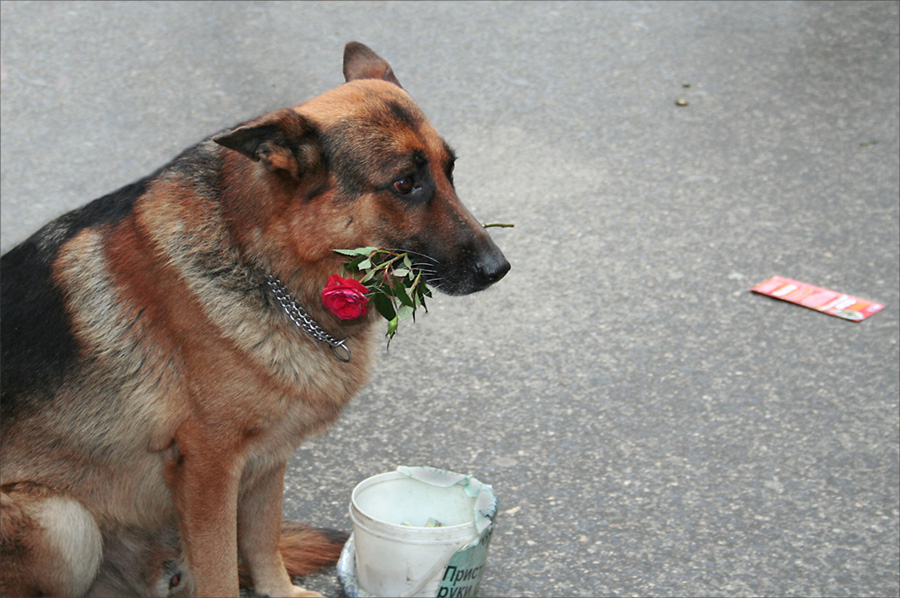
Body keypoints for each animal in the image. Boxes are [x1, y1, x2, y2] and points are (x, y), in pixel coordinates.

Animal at [0, 43, 510, 598]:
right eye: (405, 183)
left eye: (450, 171)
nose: (499, 268)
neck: (265, 260)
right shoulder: (209, 468)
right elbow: (221, 568)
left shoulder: (269, 457)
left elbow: (263, 539)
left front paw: (279, 591)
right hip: (61, 523)